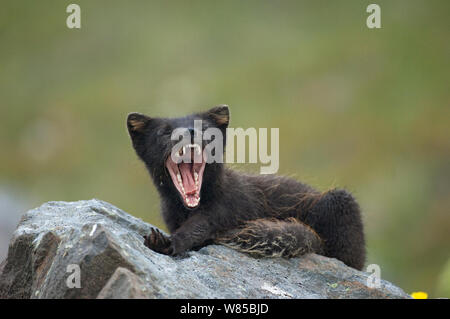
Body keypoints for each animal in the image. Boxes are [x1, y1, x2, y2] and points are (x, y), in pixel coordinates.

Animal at [127, 106, 366, 272]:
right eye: (164, 131)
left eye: (204, 128)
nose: (189, 132)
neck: (187, 209)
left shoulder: (224, 211)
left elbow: (196, 229)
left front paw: (166, 243)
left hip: (339, 199)